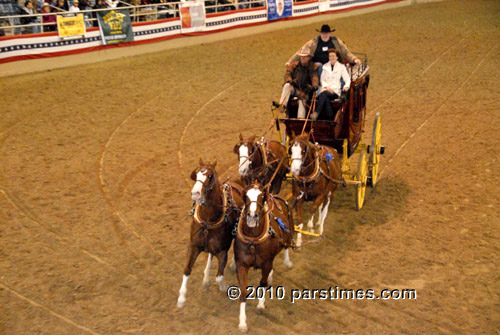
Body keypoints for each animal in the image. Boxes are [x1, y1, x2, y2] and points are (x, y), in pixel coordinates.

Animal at [178, 159, 244, 310]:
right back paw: (206, 277)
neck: (208, 221)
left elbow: (219, 276)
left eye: (209, 176)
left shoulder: (222, 251)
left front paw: (224, 286)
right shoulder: (194, 246)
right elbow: (187, 269)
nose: (195, 193)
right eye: (196, 173)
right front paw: (181, 298)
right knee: (209, 255)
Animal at [233, 182, 292, 332]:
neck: (253, 240)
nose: (252, 216)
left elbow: (263, 283)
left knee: (286, 245)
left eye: (261, 197)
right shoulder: (241, 264)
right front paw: (242, 322)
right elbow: (243, 290)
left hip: (289, 234)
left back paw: (287, 262)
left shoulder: (266, 263)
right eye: (246, 197)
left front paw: (260, 305)